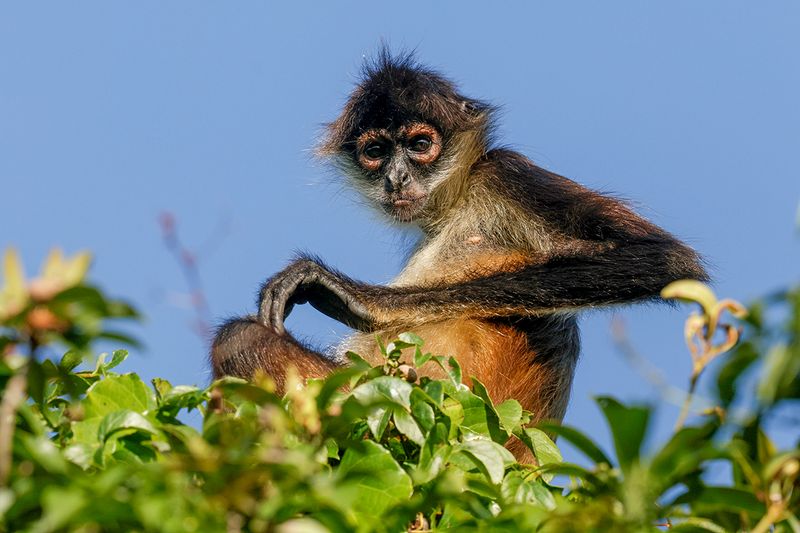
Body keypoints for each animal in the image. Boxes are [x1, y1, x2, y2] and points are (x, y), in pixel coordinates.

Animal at [210, 51, 707, 458]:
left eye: (419, 145)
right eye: (375, 151)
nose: (395, 178)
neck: (459, 199)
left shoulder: (504, 171)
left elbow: (666, 260)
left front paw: (358, 299)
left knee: (239, 340)